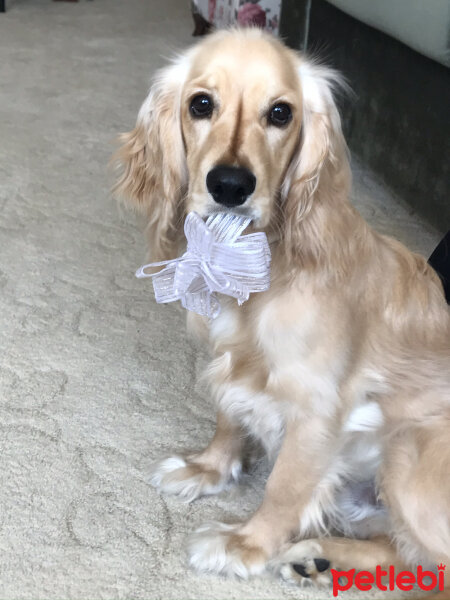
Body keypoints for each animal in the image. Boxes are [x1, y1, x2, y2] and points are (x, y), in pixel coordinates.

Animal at [115, 27, 450, 596]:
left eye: (280, 113)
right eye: (200, 104)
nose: (230, 185)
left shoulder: (317, 406)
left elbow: (285, 486)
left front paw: (245, 544)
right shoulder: (232, 364)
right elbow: (229, 418)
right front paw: (207, 469)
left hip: (409, 452)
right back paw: (320, 557)